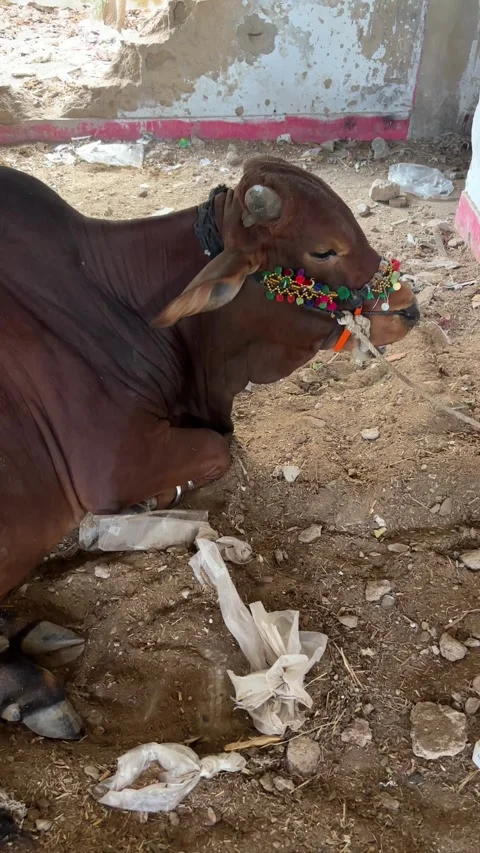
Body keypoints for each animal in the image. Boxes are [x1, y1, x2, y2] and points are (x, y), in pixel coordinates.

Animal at [0, 155, 419, 751]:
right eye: (324, 249)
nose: (409, 310)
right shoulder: (112, 463)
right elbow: (218, 447)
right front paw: (148, 503)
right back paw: (33, 688)